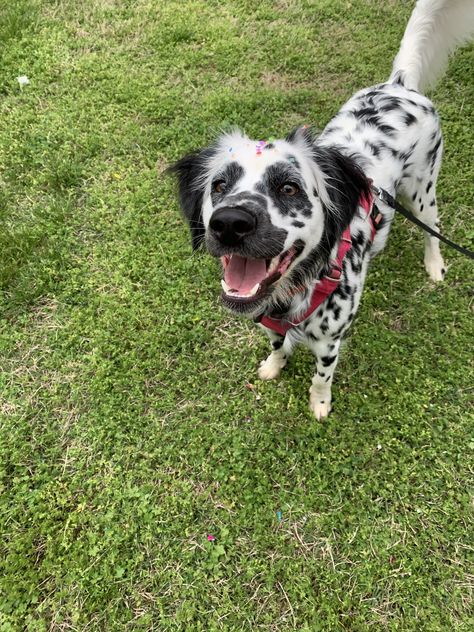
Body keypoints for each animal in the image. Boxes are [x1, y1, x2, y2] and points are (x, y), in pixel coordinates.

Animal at [170, 1, 474, 420]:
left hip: (423, 191)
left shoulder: (331, 341)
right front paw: (273, 367)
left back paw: (434, 265)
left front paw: (320, 404)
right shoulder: (271, 324)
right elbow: (277, 347)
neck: (297, 291)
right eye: (219, 185)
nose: (229, 224)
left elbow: (321, 377)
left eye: (289, 187)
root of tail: (398, 84)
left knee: (433, 229)